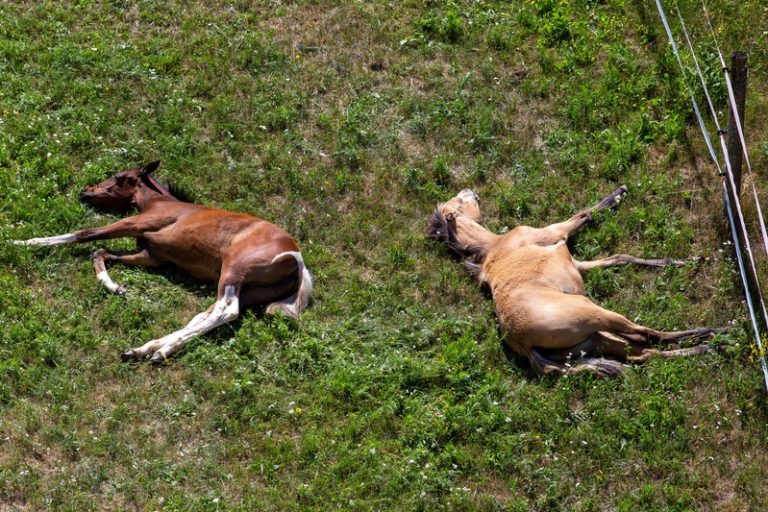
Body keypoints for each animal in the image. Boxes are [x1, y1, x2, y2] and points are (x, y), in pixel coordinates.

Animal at [13, 161, 312, 363]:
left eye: (119, 177)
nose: (85, 192)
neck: (160, 204)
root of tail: (297, 260)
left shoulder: (134, 223)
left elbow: (84, 234)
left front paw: (24, 243)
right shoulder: (152, 257)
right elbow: (100, 252)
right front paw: (116, 287)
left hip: (234, 270)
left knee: (225, 311)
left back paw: (157, 350)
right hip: (250, 289)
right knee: (204, 315)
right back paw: (150, 349)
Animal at [428, 186, 720, 377]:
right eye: (458, 200)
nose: (469, 190)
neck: (493, 248)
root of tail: (522, 342)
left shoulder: (577, 264)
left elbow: (619, 258)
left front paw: (685, 261)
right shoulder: (558, 233)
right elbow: (584, 214)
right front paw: (618, 193)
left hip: (595, 339)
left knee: (642, 351)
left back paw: (710, 345)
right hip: (597, 315)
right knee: (647, 335)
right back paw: (715, 335)